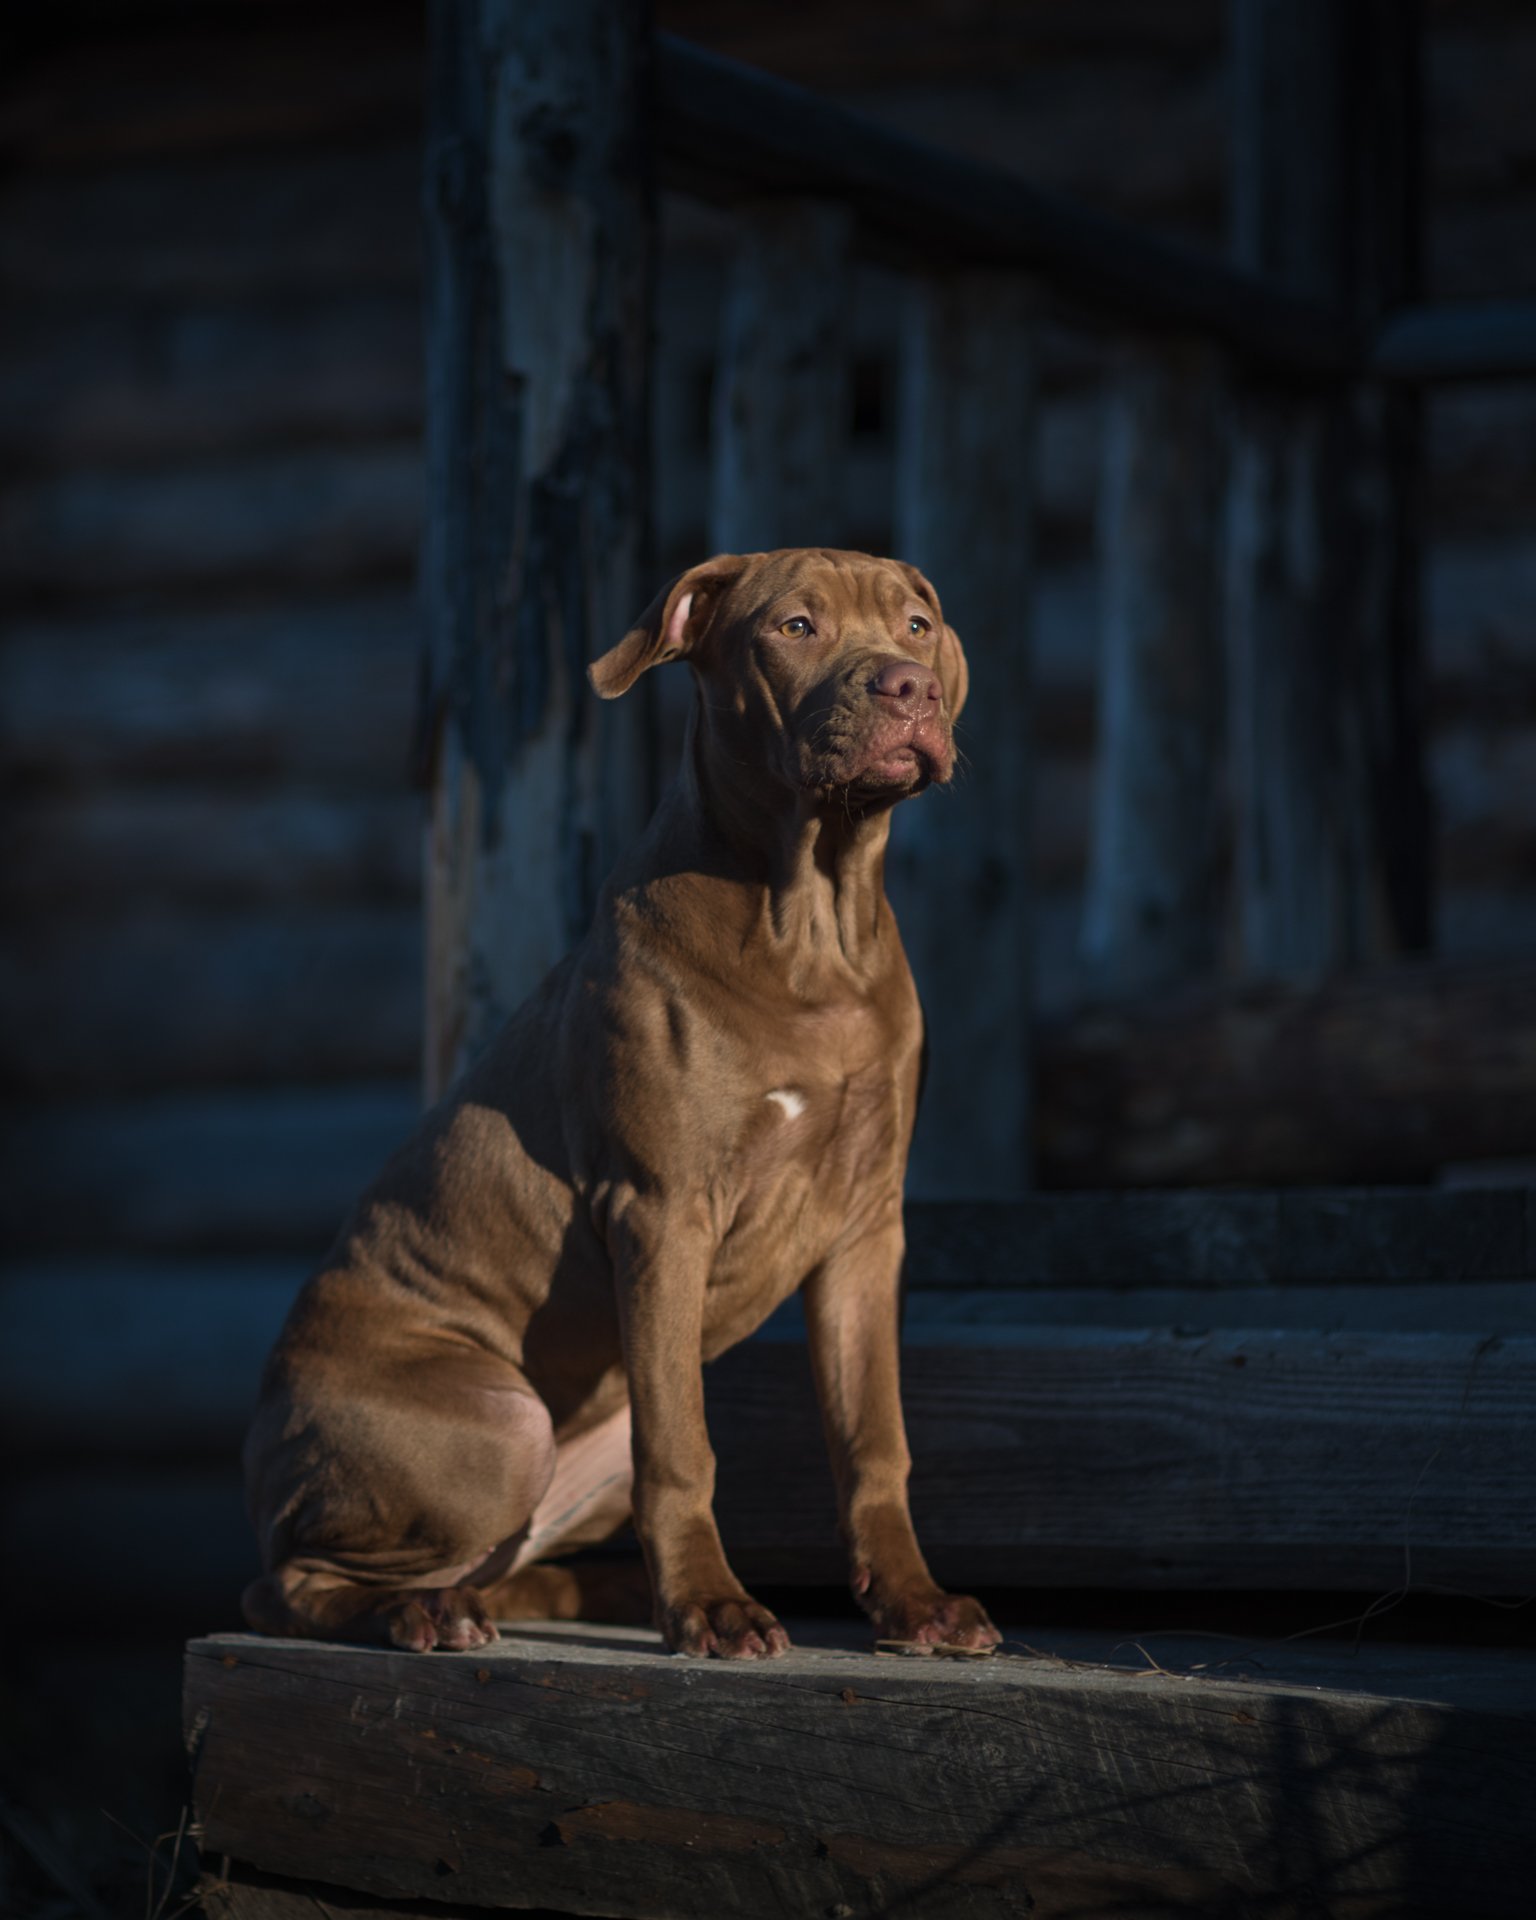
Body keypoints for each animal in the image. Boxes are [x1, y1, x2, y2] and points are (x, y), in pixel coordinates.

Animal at [245, 549, 998, 1658]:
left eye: (915, 626)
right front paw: (710, 1610)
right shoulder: (663, 1213)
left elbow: (874, 1438)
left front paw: (914, 1601)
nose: (908, 688)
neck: (812, 914)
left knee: (501, 1557)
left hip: (578, 1455)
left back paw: (574, 1593)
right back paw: (428, 1615)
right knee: (292, 1584)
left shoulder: (867, 1230)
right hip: (499, 1427)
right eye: (796, 627)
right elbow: (684, 1451)